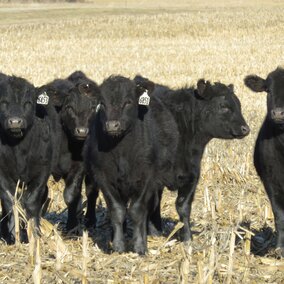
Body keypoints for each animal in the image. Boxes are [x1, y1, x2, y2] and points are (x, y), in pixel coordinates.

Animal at [0, 74, 60, 243]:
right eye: (3, 102)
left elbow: (31, 202)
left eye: (28, 103)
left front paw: (34, 234)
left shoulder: (42, 172)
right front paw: (15, 236)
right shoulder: (2, 174)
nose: (15, 122)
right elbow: (10, 202)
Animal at [49, 71, 101, 231]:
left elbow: (71, 195)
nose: (82, 131)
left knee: (91, 192)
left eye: (92, 108)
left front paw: (71, 227)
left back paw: (90, 220)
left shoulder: (79, 166)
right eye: (69, 107)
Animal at [84, 75, 178, 253]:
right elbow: (117, 210)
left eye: (128, 102)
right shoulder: (103, 176)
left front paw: (140, 246)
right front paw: (118, 245)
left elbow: (138, 210)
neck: (122, 152)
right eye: (102, 103)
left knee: (154, 203)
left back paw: (153, 230)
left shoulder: (147, 177)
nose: (112, 125)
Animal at [134, 75, 250, 242]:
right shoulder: (152, 179)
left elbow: (183, 207)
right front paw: (153, 233)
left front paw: (187, 237)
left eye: (238, 105)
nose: (245, 129)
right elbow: (152, 203)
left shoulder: (192, 175)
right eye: (223, 106)